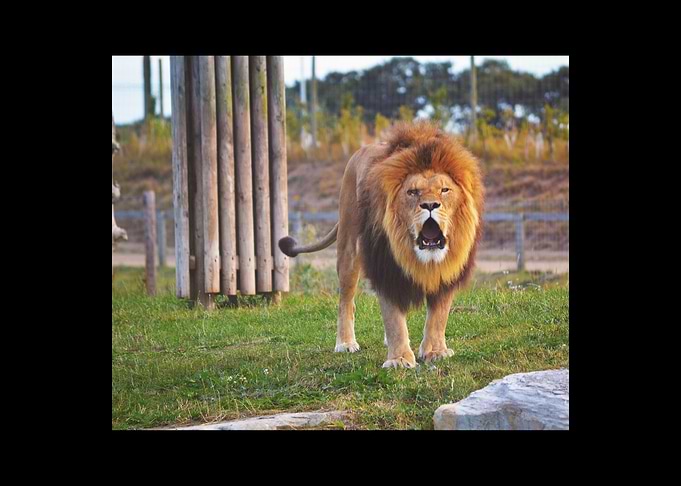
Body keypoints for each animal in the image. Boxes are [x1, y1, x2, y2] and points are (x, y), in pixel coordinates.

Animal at [279, 121, 484, 368]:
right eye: (412, 192)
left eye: (444, 190)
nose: (430, 205)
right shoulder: (385, 266)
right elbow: (393, 317)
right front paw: (399, 359)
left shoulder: (448, 271)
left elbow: (439, 315)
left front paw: (435, 351)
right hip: (349, 249)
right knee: (346, 301)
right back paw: (345, 343)